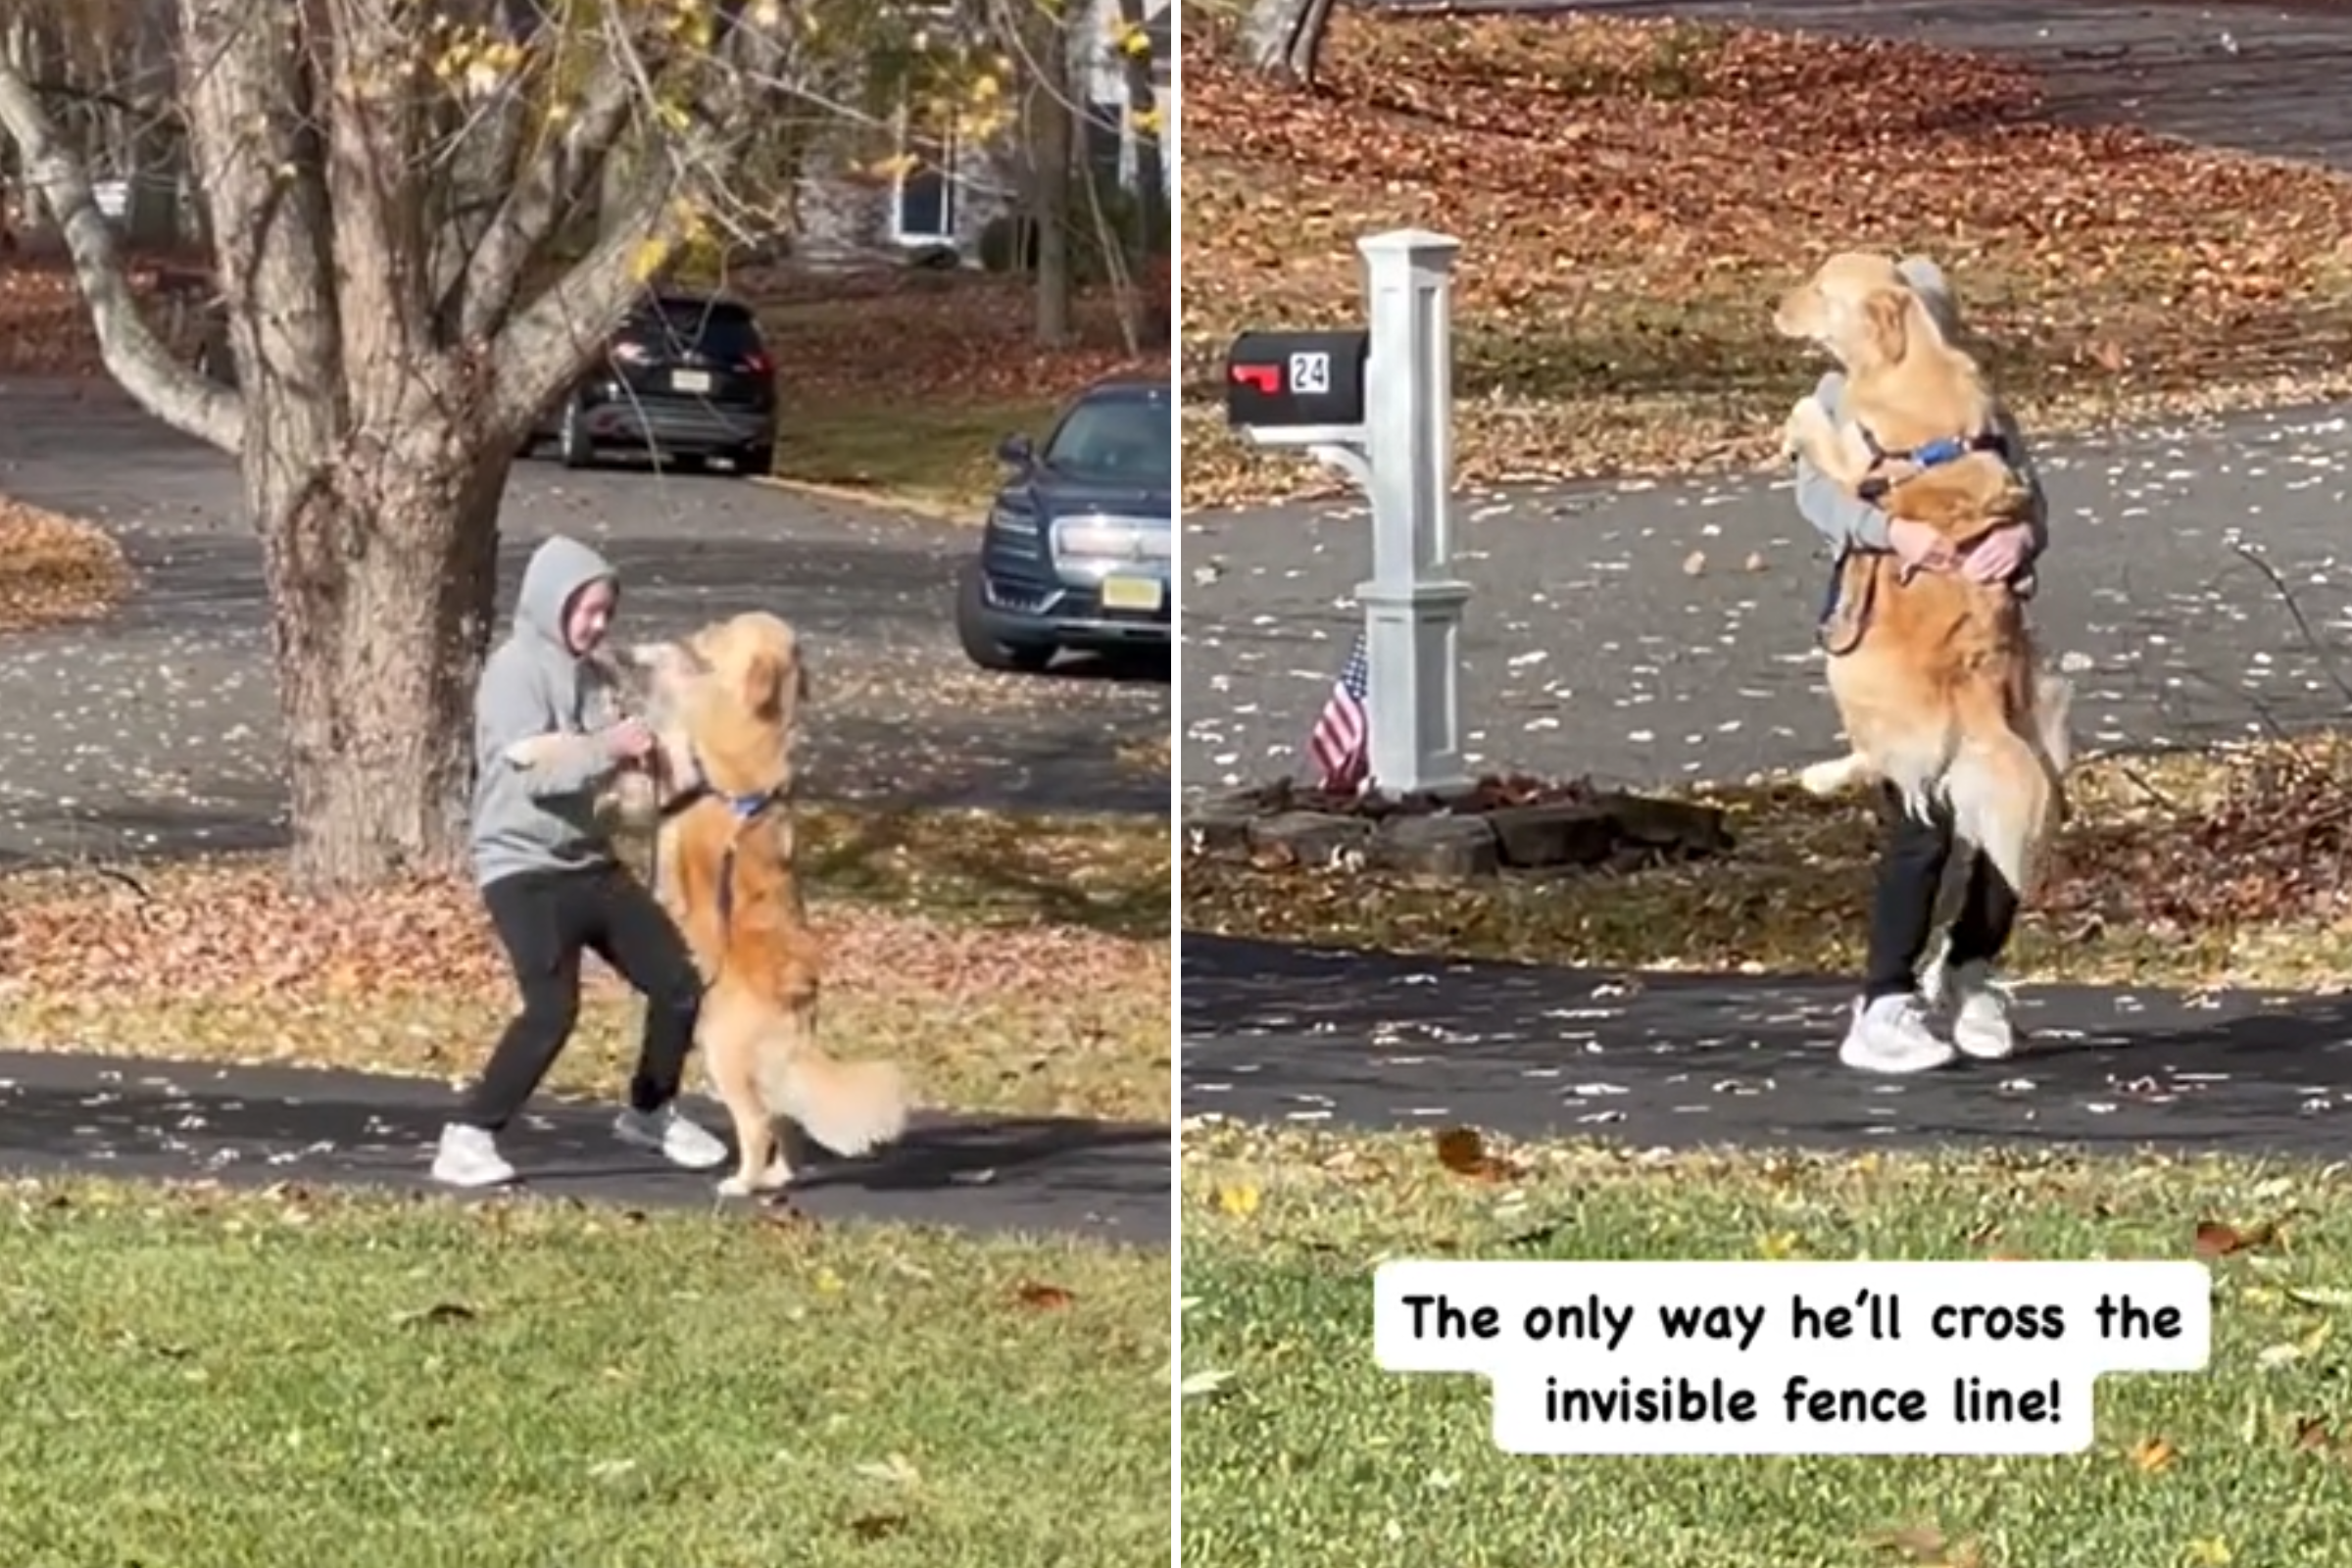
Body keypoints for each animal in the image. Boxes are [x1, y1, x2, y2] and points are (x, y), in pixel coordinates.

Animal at [506, 611, 907, 1189]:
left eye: (725, 629)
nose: (700, 629)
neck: (746, 719)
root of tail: (799, 998)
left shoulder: (668, 771)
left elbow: (598, 752)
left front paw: (530, 750)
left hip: (723, 1052)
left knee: (758, 1122)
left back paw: (742, 1182)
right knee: (785, 1122)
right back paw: (778, 1177)